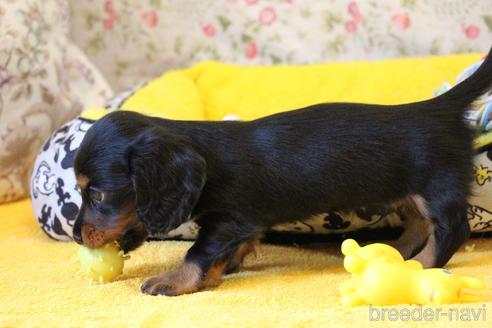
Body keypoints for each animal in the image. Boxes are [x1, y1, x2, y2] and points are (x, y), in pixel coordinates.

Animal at [71, 47, 492, 296]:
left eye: (99, 194)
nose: (76, 236)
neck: (206, 155)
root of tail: (437, 108)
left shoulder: (230, 219)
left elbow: (197, 252)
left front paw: (174, 280)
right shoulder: (241, 224)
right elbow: (229, 250)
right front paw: (223, 269)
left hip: (437, 187)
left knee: (452, 230)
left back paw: (419, 266)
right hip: (406, 191)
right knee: (420, 226)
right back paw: (394, 254)